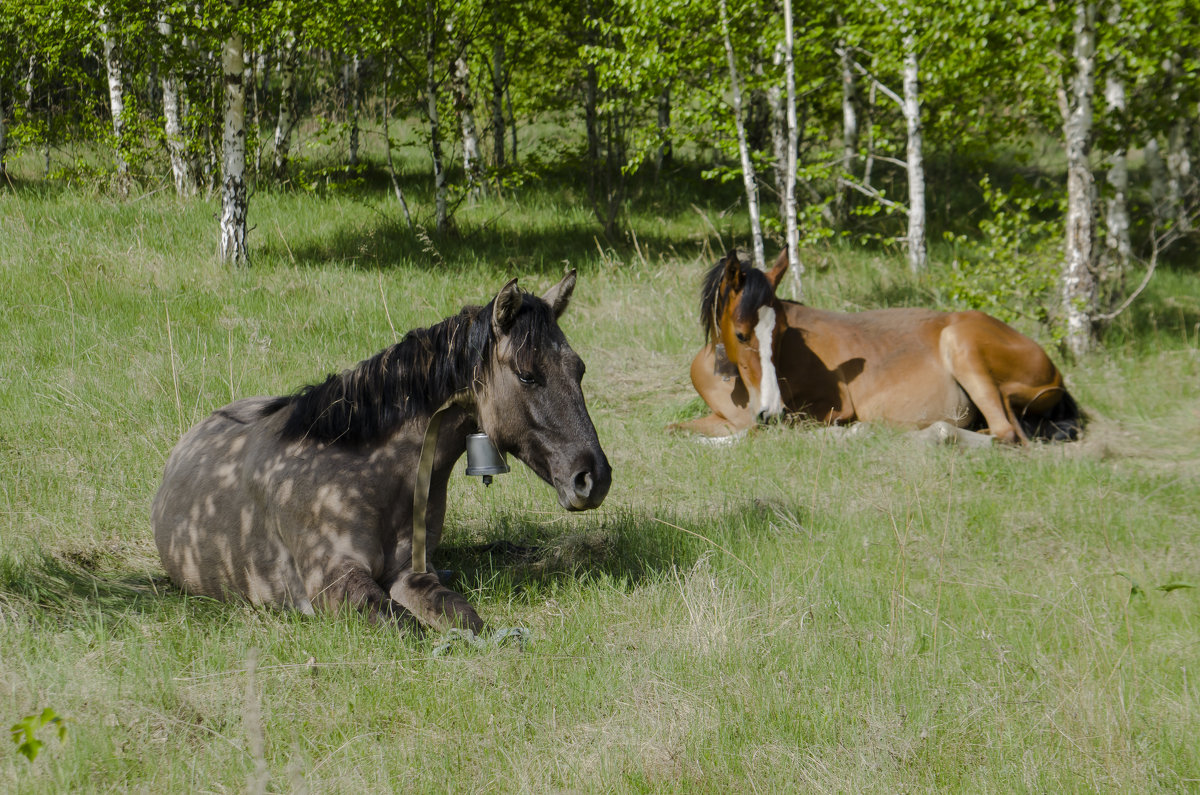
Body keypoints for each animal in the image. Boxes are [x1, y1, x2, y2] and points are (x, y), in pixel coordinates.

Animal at [151, 273, 614, 634]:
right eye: (526, 375)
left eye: (578, 369)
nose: (593, 478)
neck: (367, 474)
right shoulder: (334, 581)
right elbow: (406, 627)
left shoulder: (411, 573)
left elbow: (465, 618)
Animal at [672, 252, 1084, 444]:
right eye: (742, 335)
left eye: (784, 331)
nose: (770, 410)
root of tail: (1056, 375)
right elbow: (674, 428)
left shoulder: (825, 409)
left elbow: (753, 435)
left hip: (960, 344)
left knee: (1002, 433)